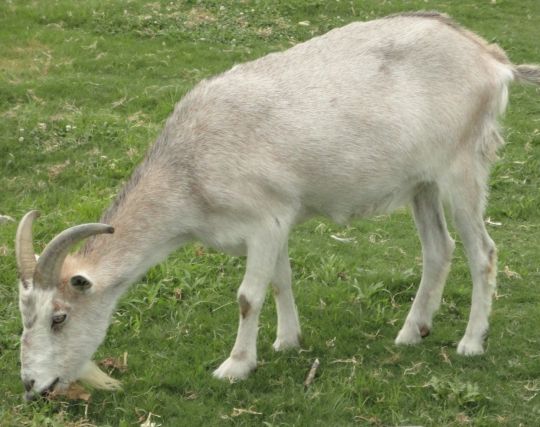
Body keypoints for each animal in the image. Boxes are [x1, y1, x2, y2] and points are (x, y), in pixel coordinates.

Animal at [14, 13, 536, 402]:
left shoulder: (263, 221)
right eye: (25, 314)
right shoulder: (279, 220)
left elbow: (248, 296)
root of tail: (491, 60)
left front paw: (236, 366)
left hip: (463, 168)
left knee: (483, 252)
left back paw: (470, 343)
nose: (33, 384)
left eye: (59, 316)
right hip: (421, 183)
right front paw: (288, 342)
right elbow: (282, 279)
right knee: (438, 249)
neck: (191, 169)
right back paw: (411, 332)